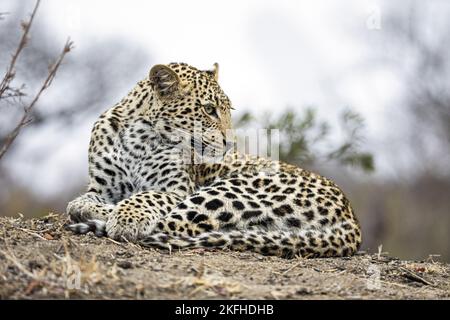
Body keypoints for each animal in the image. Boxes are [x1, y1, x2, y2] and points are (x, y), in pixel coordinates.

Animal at [66, 62, 362, 258]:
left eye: (228, 110)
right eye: (208, 110)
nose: (231, 143)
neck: (140, 138)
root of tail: (352, 221)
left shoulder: (177, 190)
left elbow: (150, 196)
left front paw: (126, 216)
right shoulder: (102, 187)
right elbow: (91, 196)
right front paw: (88, 203)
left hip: (233, 189)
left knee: (176, 223)